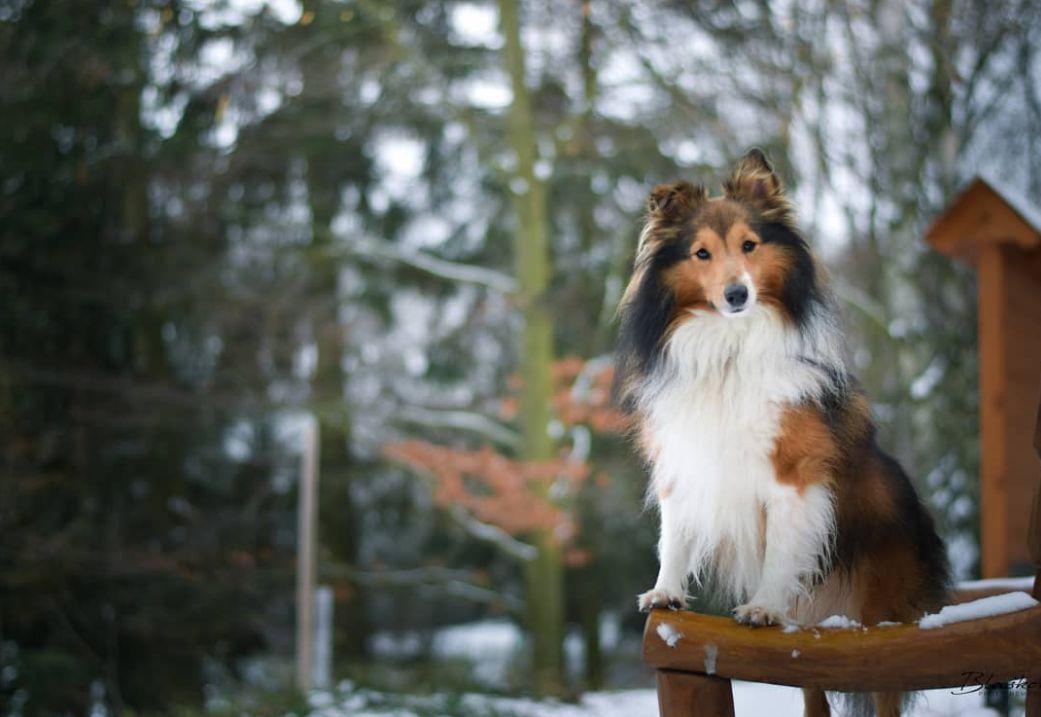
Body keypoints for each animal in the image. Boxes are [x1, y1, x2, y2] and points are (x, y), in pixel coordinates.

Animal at [612, 147, 949, 711]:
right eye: (701, 253)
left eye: (749, 245)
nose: (737, 294)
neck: (727, 349)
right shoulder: (685, 461)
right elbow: (674, 535)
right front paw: (666, 592)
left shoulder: (793, 474)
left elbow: (778, 551)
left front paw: (763, 607)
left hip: (882, 626)